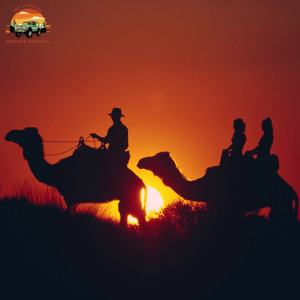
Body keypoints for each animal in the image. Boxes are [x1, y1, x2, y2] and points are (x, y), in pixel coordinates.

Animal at [5, 127, 148, 227]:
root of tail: (142, 184)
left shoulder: (69, 196)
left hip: (130, 195)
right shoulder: (72, 199)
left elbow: (68, 216)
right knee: (126, 214)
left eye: (24, 133)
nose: (9, 133)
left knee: (138, 215)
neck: (55, 172)